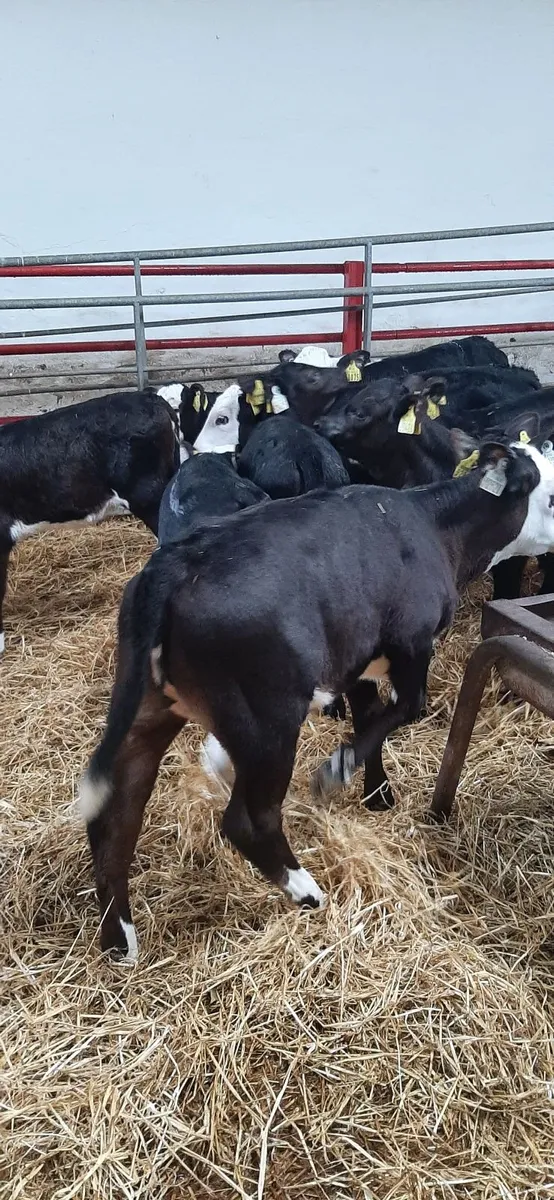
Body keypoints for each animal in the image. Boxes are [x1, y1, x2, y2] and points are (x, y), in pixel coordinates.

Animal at [79, 431, 554, 958]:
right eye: (551, 497)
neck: (433, 528)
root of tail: (173, 568)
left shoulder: (357, 658)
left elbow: (371, 715)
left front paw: (376, 792)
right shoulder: (411, 643)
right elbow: (408, 707)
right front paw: (337, 768)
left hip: (151, 707)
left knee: (115, 815)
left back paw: (119, 938)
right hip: (267, 719)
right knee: (248, 820)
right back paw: (306, 890)